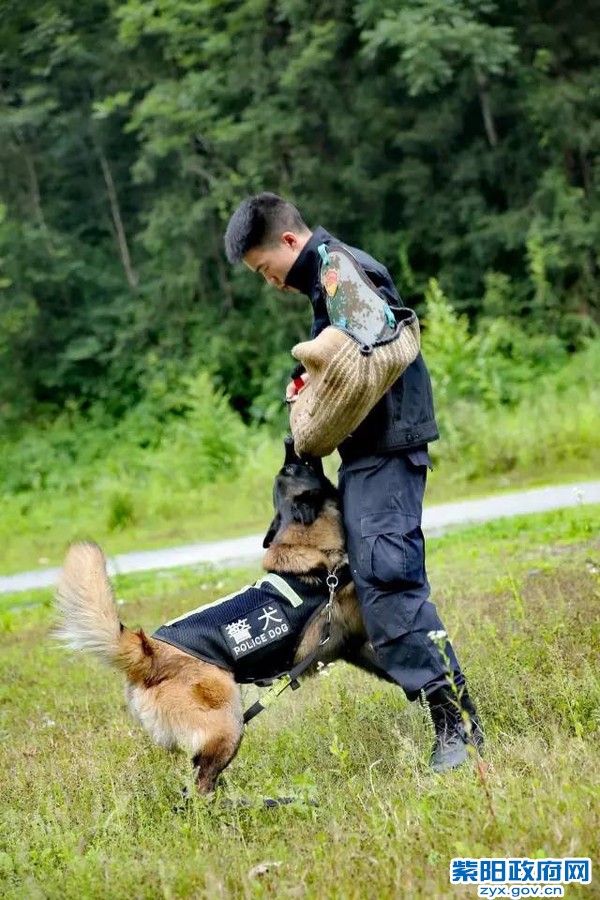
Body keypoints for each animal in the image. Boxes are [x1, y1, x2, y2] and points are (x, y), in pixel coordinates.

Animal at [55, 440, 384, 792]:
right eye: (293, 467)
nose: (288, 441)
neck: (317, 562)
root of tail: (149, 651)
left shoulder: (355, 648)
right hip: (228, 725)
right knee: (200, 784)